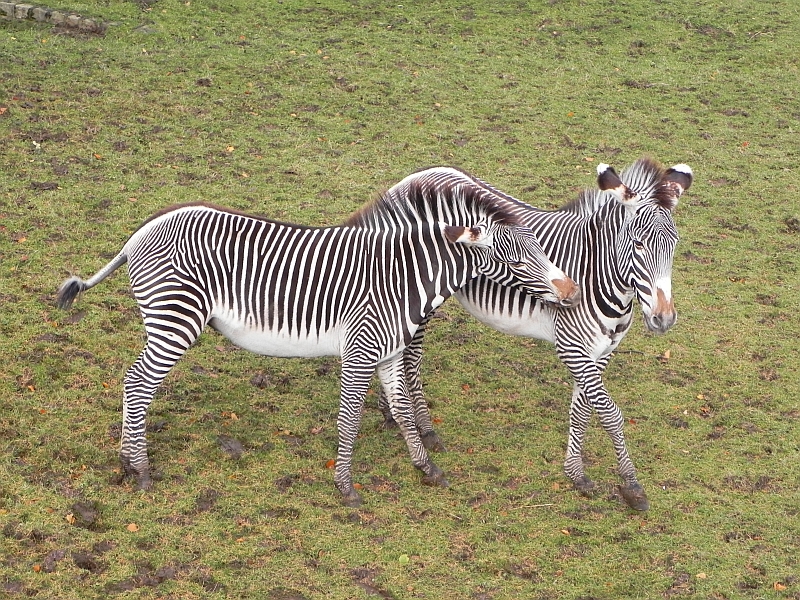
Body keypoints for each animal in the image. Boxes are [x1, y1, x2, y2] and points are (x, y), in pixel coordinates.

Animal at [56, 188, 580, 507]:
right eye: (517, 258)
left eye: (540, 247)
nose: (572, 291)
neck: (405, 276)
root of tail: (143, 230)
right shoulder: (361, 351)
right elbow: (350, 419)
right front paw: (345, 486)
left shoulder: (391, 354)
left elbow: (404, 411)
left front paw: (426, 467)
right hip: (175, 319)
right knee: (138, 383)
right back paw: (140, 469)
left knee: (135, 383)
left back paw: (127, 462)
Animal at [367, 158, 692, 511]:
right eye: (638, 244)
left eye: (674, 246)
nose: (664, 319)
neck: (600, 276)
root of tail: (420, 174)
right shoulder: (572, 347)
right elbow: (610, 414)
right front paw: (631, 485)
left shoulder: (601, 352)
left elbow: (582, 411)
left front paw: (575, 473)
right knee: (411, 356)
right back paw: (424, 429)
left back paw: (391, 412)